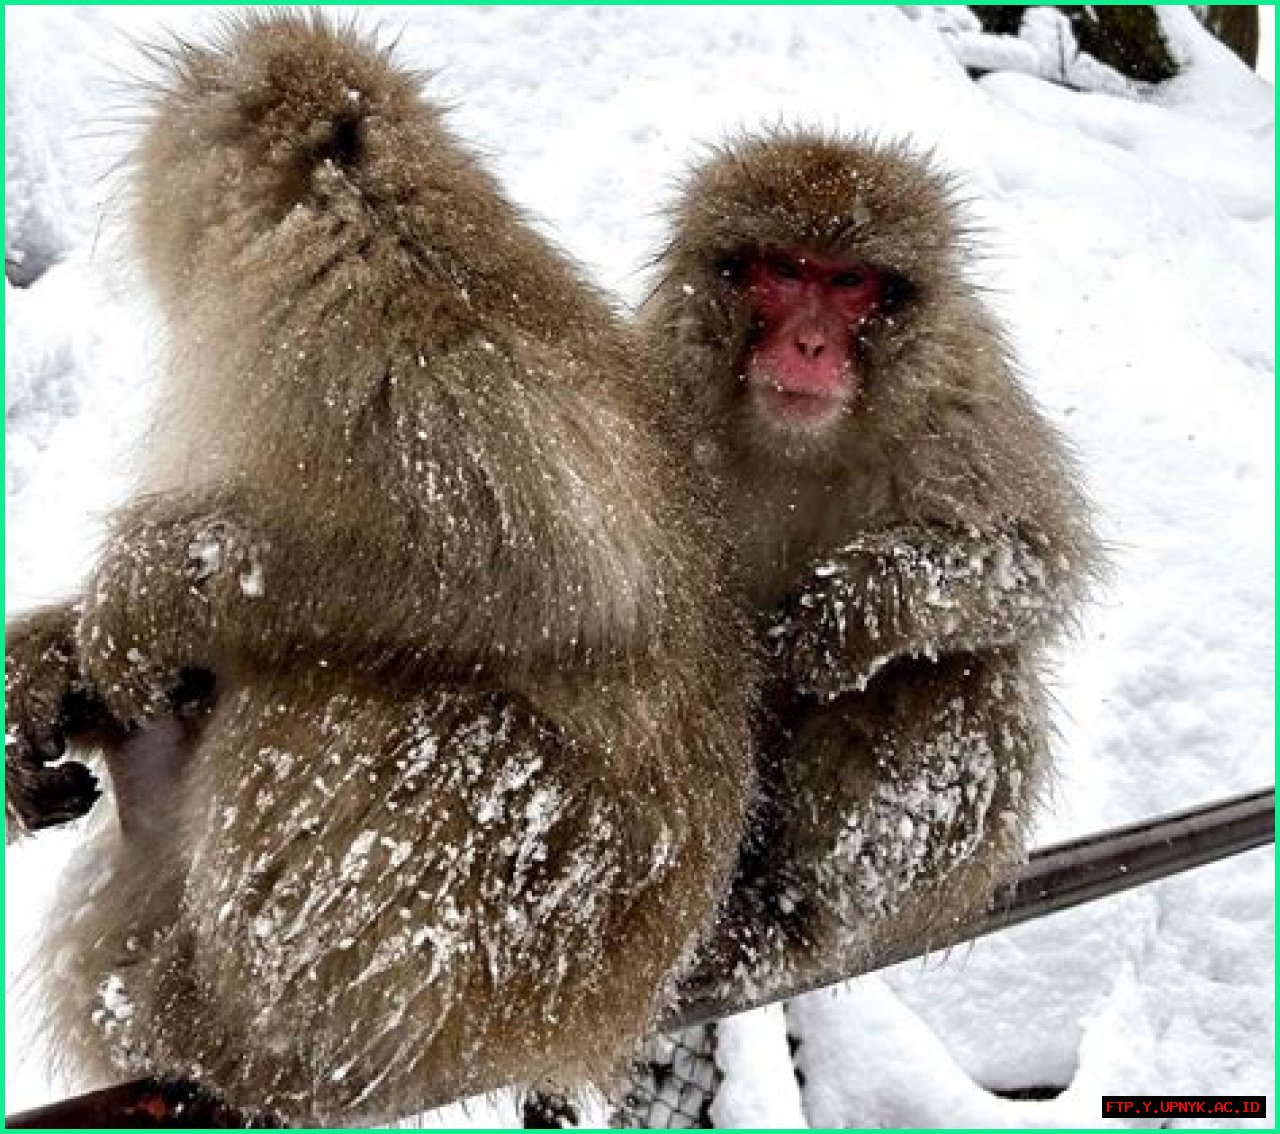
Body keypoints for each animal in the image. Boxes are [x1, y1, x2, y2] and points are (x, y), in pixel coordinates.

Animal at [12, 13, 755, 1125]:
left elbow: (533, 567)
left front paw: (153, 589)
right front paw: (46, 664)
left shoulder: (375, 343)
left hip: (505, 950)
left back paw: (243, 1039)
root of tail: (600, 1021)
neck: (372, 210)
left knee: (357, 710)